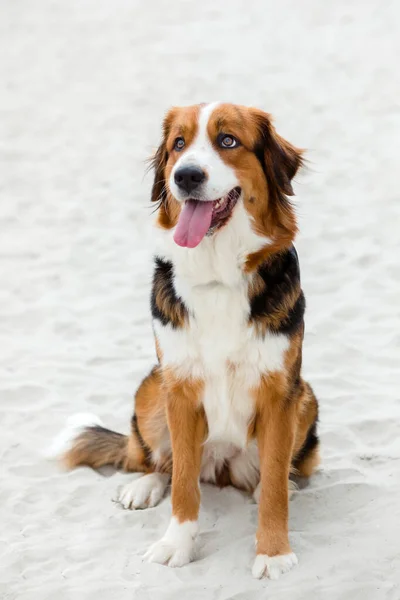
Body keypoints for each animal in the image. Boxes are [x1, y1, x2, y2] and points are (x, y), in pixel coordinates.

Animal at [55, 103, 318, 580]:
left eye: (228, 140)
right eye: (178, 144)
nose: (186, 176)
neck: (219, 274)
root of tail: (222, 466)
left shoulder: (280, 394)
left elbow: (273, 482)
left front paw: (272, 551)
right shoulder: (178, 387)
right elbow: (182, 484)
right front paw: (175, 545)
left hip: (305, 397)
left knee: (271, 472)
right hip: (151, 389)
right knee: (162, 461)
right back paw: (144, 485)